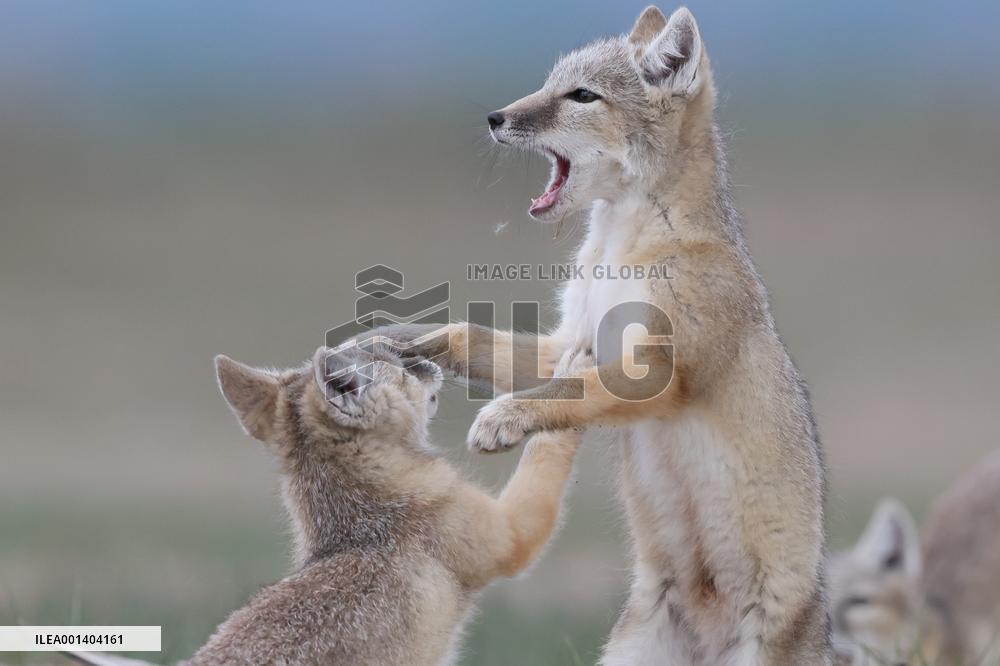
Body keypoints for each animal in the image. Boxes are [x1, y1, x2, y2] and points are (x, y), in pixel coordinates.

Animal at [68, 344, 584, 666]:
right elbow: (549, 450)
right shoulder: (515, 536)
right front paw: (571, 379)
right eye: (401, 367)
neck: (358, 516)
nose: (425, 357)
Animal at [367, 5, 831, 664]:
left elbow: (570, 392)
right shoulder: (570, 341)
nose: (495, 117)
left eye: (581, 96)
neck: (619, 251)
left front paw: (503, 418)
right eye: (549, 84)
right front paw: (402, 340)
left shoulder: (660, 370)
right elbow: (470, 336)